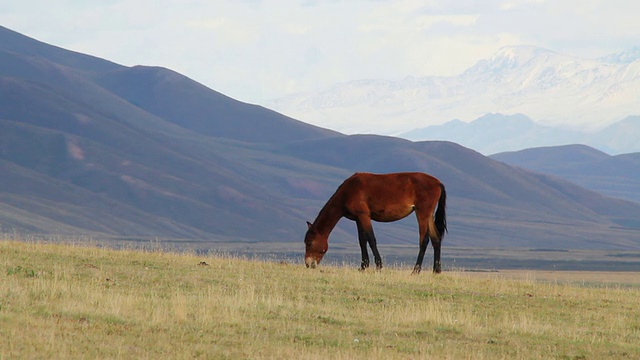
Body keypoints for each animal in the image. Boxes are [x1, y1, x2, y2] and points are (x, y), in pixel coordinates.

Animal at [304, 173, 444, 274]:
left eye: (309, 243)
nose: (308, 264)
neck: (348, 192)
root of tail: (438, 183)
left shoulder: (364, 216)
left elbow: (371, 239)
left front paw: (378, 266)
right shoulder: (358, 219)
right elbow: (362, 241)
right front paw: (363, 266)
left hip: (422, 213)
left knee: (424, 240)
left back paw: (416, 270)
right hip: (429, 216)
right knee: (436, 239)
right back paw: (436, 270)